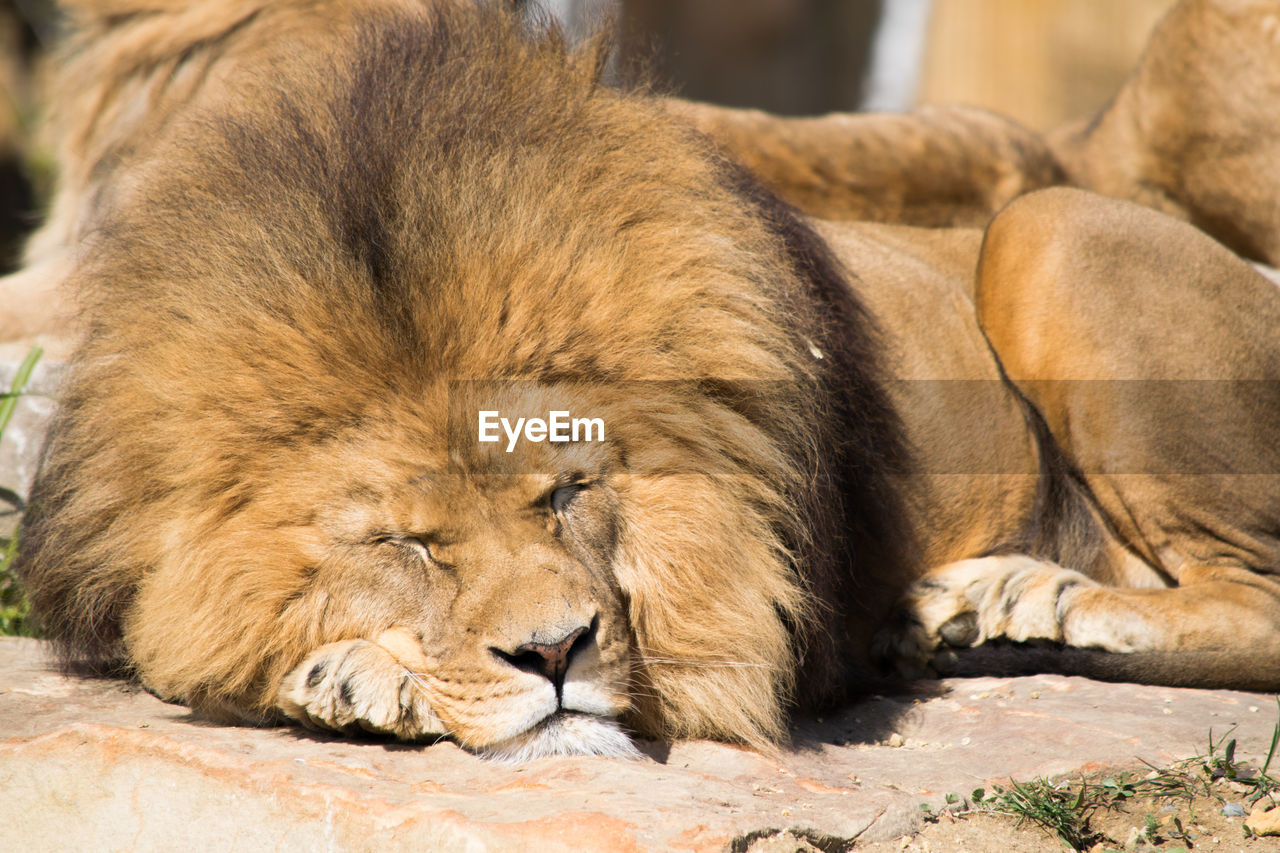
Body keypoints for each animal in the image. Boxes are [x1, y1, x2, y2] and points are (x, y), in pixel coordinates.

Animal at [15, 0, 1280, 758]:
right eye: (411, 544)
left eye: (568, 491)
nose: (552, 656)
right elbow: (190, 633)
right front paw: (341, 675)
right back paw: (966, 615)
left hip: (1043, 228)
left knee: (1253, 603)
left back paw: (1025, 600)